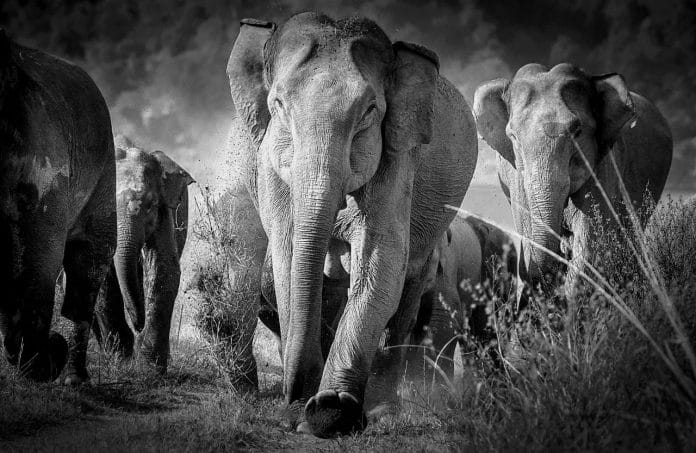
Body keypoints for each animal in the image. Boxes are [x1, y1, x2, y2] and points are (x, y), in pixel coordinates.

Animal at [0, 30, 116, 383]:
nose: (55, 348)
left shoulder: (44, 163)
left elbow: (43, 262)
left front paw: (36, 365)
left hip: (103, 170)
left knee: (88, 262)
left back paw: (71, 376)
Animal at [93, 136, 194, 373]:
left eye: (150, 205)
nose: (139, 324)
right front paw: (121, 359)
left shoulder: (165, 212)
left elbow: (163, 267)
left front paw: (150, 369)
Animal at [225, 13, 477, 437]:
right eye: (278, 104)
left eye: (370, 111)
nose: (292, 397)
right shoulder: (268, 165)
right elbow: (288, 260)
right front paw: (307, 411)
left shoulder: (398, 157)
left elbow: (380, 263)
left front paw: (331, 409)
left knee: (406, 297)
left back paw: (382, 409)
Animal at [473, 63, 672, 302]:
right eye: (513, 136)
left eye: (577, 131)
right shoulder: (515, 175)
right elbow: (529, 230)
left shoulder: (602, 165)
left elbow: (587, 241)